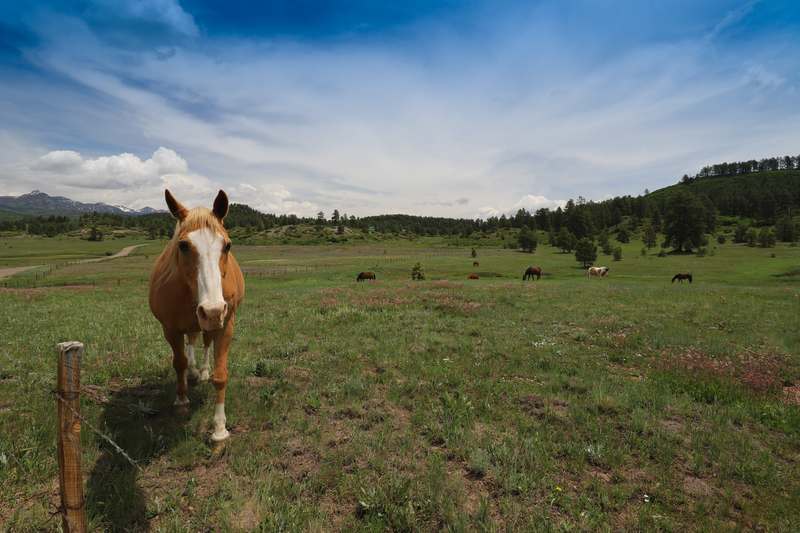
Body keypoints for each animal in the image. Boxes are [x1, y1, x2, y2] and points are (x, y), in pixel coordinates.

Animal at [149, 190, 245, 442]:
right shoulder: (170, 328)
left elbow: (220, 375)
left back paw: (201, 372)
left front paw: (219, 429)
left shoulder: (225, 324)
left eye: (227, 245)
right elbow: (179, 362)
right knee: (190, 344)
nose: (212, 310)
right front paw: (181, 400)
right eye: (182, 245)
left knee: (204, 342)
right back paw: (192, 372)